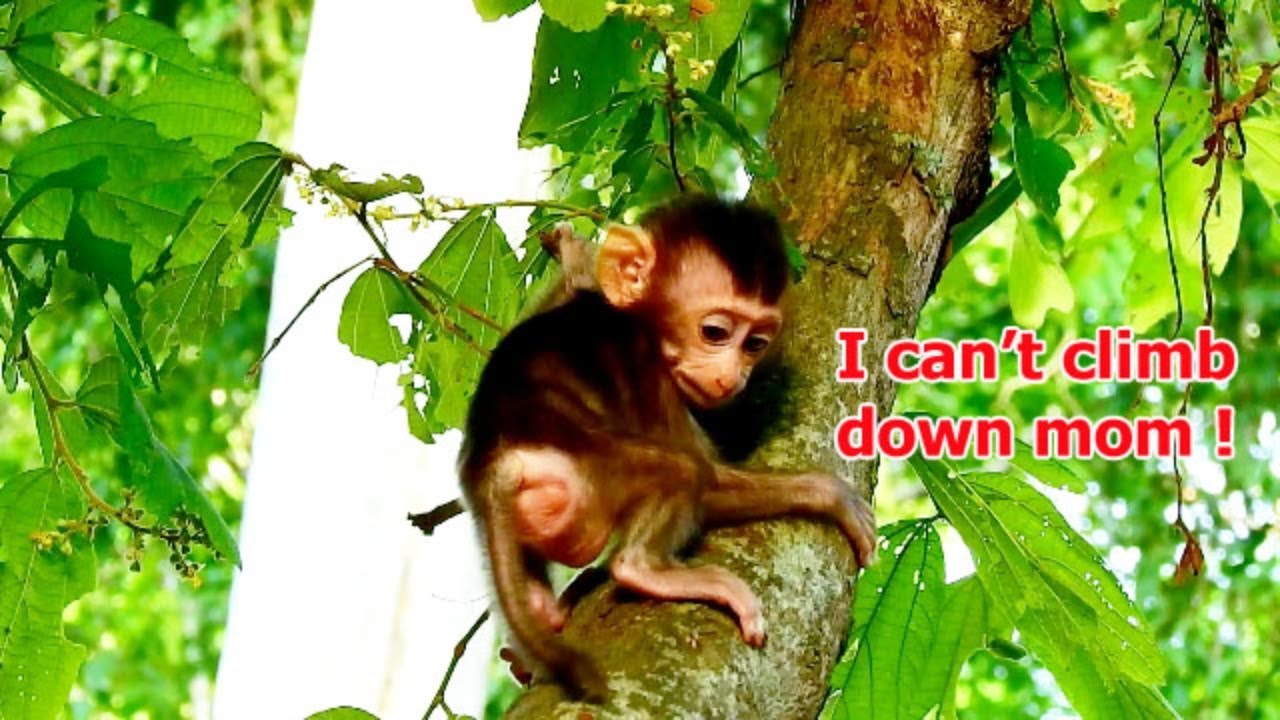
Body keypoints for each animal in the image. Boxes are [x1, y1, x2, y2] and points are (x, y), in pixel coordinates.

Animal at [459, 196, 877, 702]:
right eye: (715, 332)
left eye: (755, 343)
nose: (733, 376)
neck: (638, 320)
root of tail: (495, 462)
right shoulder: (649, 370)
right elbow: (708, 476)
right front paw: (830, 495)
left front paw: (571, 249)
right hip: (592, 466)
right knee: (680, 472)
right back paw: (646, 569)